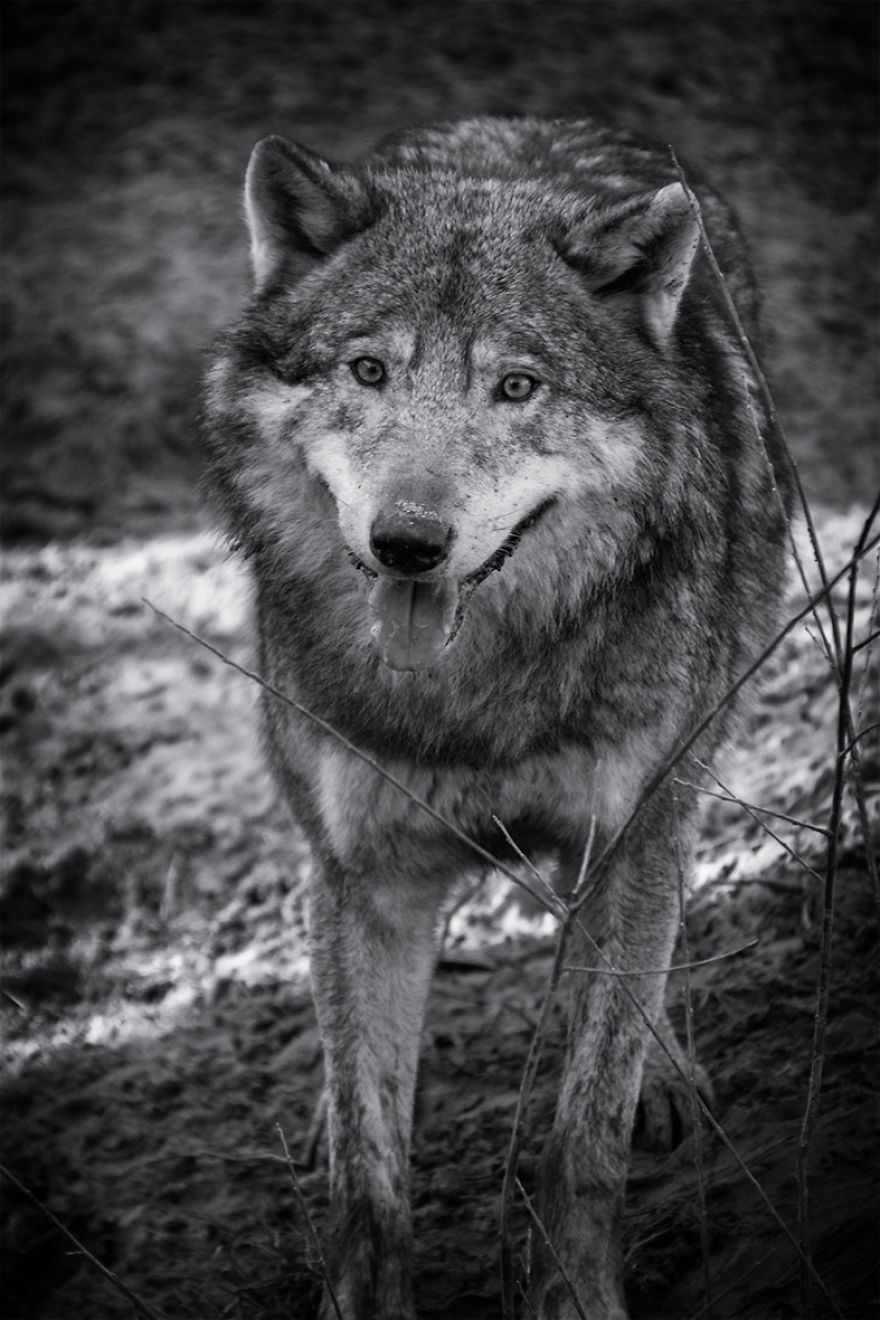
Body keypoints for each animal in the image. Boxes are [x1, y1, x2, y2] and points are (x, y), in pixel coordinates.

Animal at [202, 117, 792, 1320]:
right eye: (368, 370)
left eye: (517, 387)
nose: (408, 544)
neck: (471, 695)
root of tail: (534, 125)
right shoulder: (362, 876)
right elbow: (369, 1173)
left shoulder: (631, 831)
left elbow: (583, 1136)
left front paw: (575, 1294)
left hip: (688, 764)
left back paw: (665, 1071)